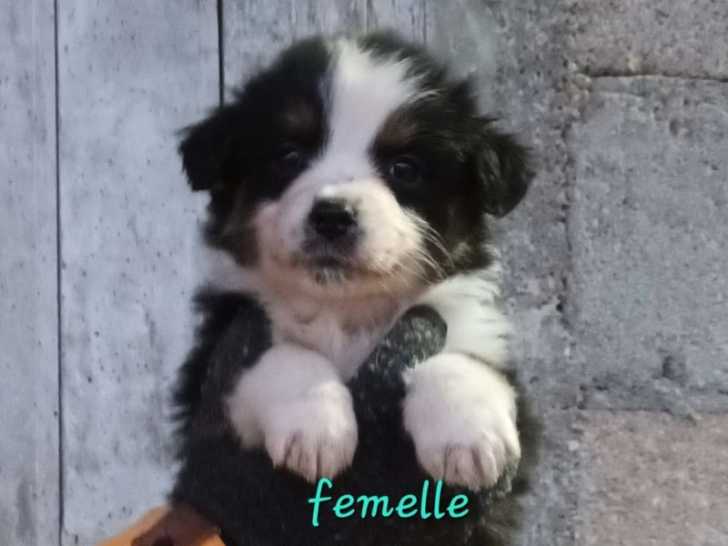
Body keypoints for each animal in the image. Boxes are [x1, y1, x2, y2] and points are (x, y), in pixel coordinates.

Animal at [136, 31, 534, 546]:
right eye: (288, 156)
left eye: (405, 167)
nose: (332, 216)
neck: (343, 312)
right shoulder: (219, 357)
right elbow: (286, 355)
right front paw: (317, 428)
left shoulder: (472, 333)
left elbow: (463, 360)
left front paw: (470, 438)